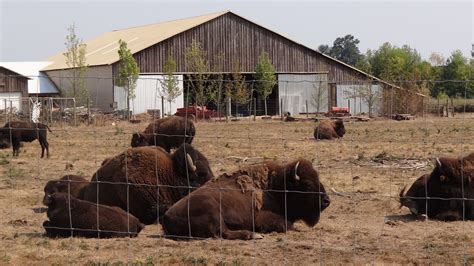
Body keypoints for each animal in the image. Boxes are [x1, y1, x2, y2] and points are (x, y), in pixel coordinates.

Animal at [163, 159, 330, 240]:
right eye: (307, 184)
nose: (326, 201)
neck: (276, 187)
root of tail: (166, 217)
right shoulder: (260, 217)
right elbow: (285, 224)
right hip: (213, 211)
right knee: (223, 233)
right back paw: (253, 235)